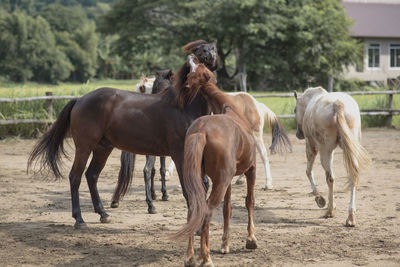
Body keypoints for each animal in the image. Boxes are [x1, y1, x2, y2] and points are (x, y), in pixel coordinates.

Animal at [28, 40, 219, 229]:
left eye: (213, 48)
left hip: (103, 148)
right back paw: (79, 220)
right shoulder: (180, 155)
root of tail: (80, 99)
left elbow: (204, 184)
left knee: (92, 175)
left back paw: (103, 214)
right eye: (198, 50)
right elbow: (189, 189)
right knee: (75, 176)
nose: (208, 56)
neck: (185, 106)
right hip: (84, 146)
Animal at [172, 55, 282, 266]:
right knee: (206, 212)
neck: (231, 109)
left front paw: (225, 244)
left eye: (195, 69)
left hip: (206, 180)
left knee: (194, 211)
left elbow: (227, 209)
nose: (192, 56)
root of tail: (202, 131)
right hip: (221, 180)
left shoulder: (228, 179)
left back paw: (191, 257)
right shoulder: (251, 169)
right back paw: (205, 258)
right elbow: (249, 201)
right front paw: (251, 239)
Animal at [294, 87, 368, 227]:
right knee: (353, 176)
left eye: (295, 110)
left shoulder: (311, 146)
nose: (298, 134)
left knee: (330, 178)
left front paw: (320, 199)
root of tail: (337, 104)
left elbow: (308, 171)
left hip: (325, 150)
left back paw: (329, 211)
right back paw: (350, 217)